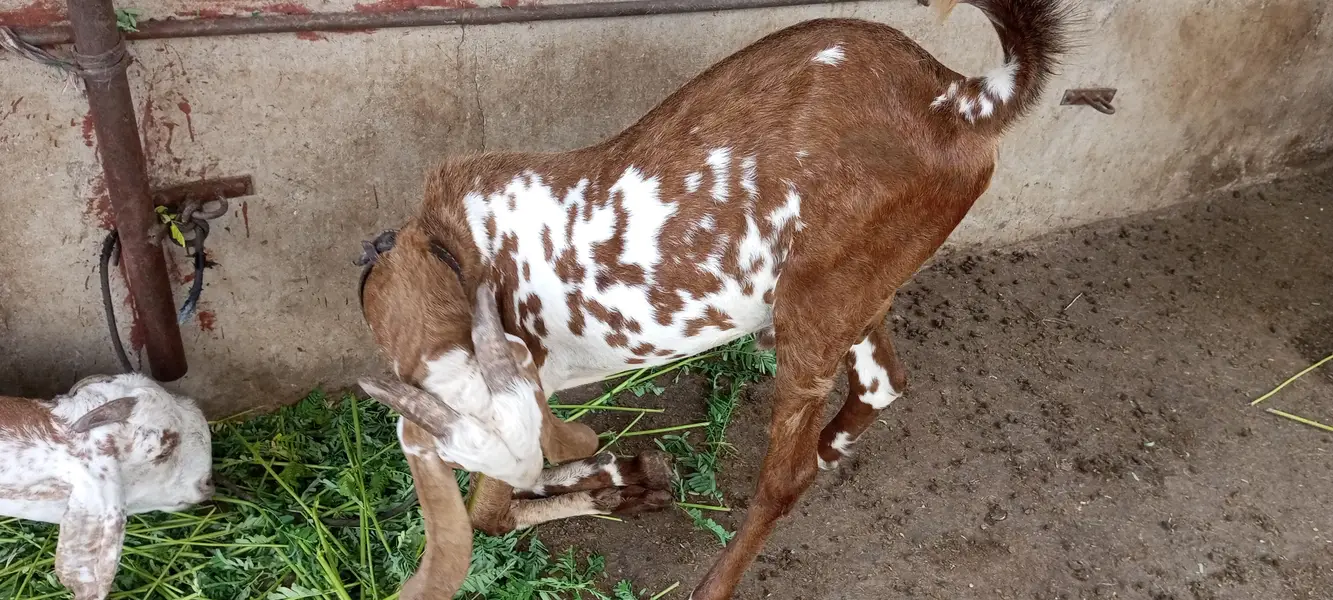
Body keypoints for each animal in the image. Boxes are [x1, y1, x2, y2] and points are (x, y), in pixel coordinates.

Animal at [358, 1, 1072, 597]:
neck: (451, 251)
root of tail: (962, 101)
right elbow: (508, 496)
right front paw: (623, 479)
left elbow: (491, 513)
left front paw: (615, 482)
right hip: (855, 287)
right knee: (882, 382)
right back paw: (829, 447)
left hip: (819, 302)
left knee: (787, 476)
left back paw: (718, 578)